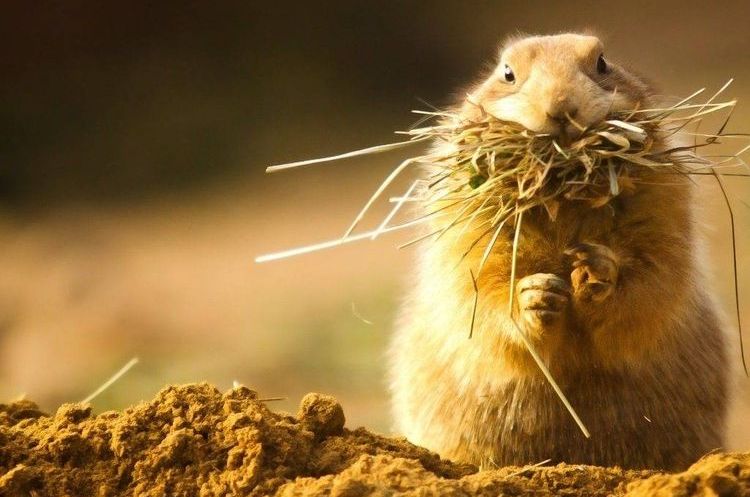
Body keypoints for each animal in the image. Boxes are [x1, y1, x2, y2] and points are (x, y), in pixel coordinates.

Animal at [388, 33, 732, 470]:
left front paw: (595, 270)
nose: (561, 106)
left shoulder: (666, 201)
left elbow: (656, 277)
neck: (564, 198)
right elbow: (480, 289)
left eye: (602, 63)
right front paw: (537, 294)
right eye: (507, 73)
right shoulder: (466, 225)